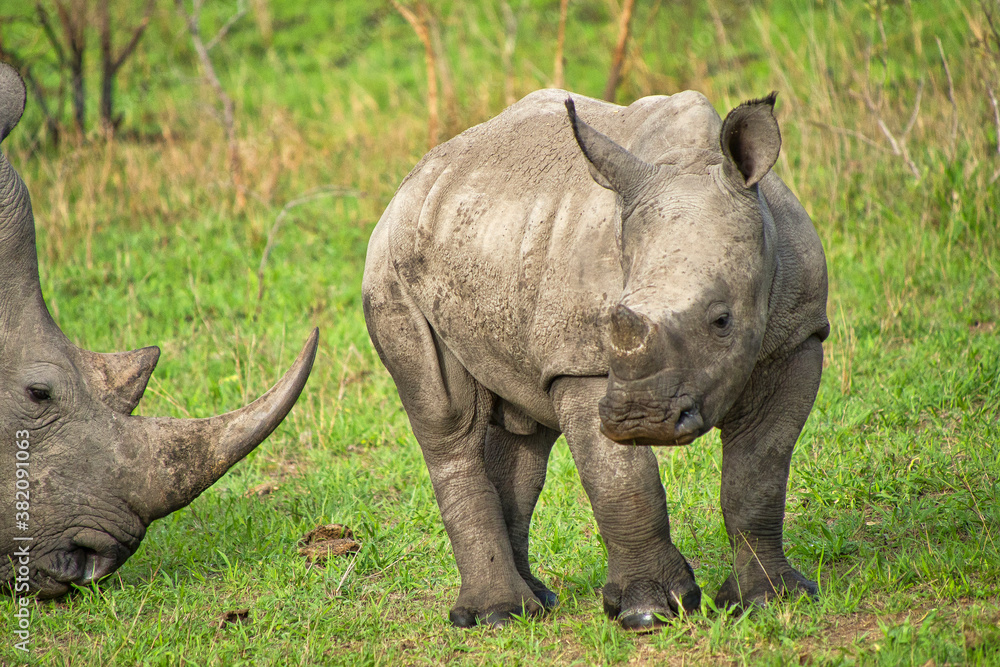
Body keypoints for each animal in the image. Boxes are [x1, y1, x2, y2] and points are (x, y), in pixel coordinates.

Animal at [363, 88, 829, 629]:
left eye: (721, 321)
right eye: (613, 319)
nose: (639, 418)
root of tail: (413, 177)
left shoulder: (798, 336)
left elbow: (758, 475)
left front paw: (772, 599)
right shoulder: (580, 362)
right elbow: (623, 482)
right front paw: (648, 612)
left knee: (525, 432)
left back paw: (534, 605)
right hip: (391, 262)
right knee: (448, 419)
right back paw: (497, 615)